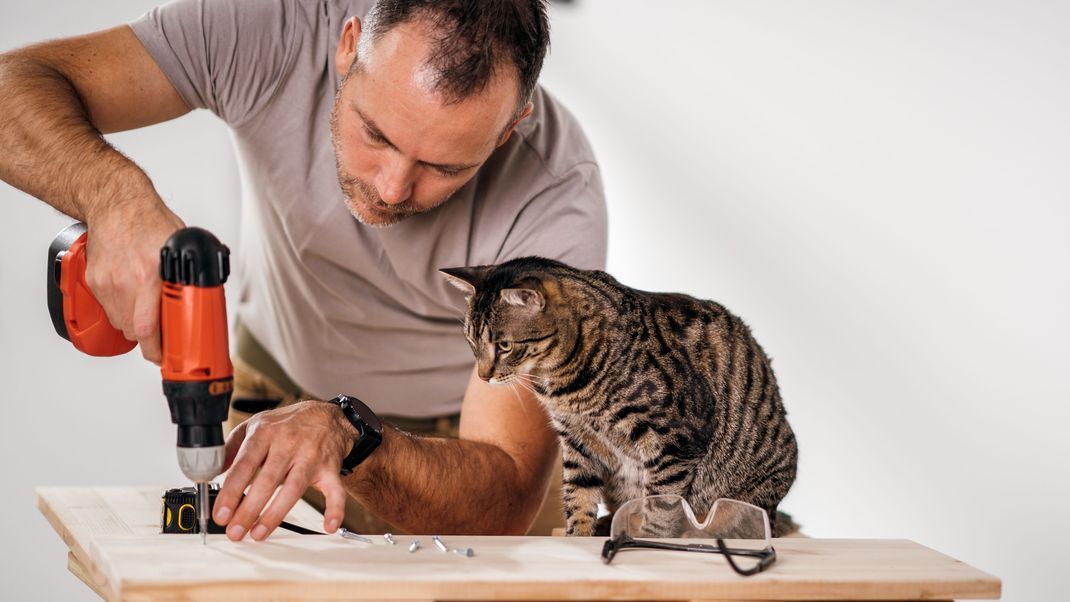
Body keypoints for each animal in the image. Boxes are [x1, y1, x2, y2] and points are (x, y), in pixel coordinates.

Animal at [438, 255, 800, 536]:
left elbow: (661, 502)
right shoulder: (577, 440)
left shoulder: (675, 441)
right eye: (471, 343)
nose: (483, 376)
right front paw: (578, 535)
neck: (562, 385)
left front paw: (649, 538)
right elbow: (578, 495)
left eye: (504, 345)